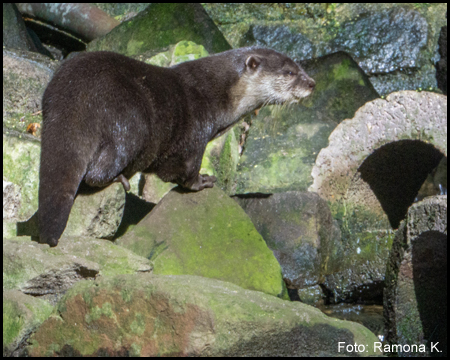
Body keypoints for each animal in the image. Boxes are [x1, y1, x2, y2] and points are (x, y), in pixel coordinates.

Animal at [39, 47, 316, 246]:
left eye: (300, 67)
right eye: (289, 73)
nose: (312, 83)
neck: (214, 93)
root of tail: (76, 95)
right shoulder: (195, 134)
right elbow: (182, 170)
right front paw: (203, 181)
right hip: (130, 123)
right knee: (97, 171)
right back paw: (119, 179)